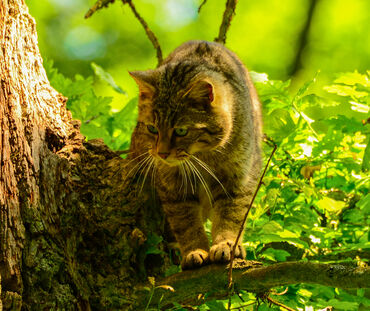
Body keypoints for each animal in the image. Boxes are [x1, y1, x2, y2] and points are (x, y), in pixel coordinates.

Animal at [129, 40, 262, 270]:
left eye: (181, 131)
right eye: (152, 128)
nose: (162, 153)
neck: (203, 157)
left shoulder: (238, 179)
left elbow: (231, 217)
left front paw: (226, 244)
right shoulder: (173, 188)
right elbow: (186, 224)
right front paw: (195, 251)